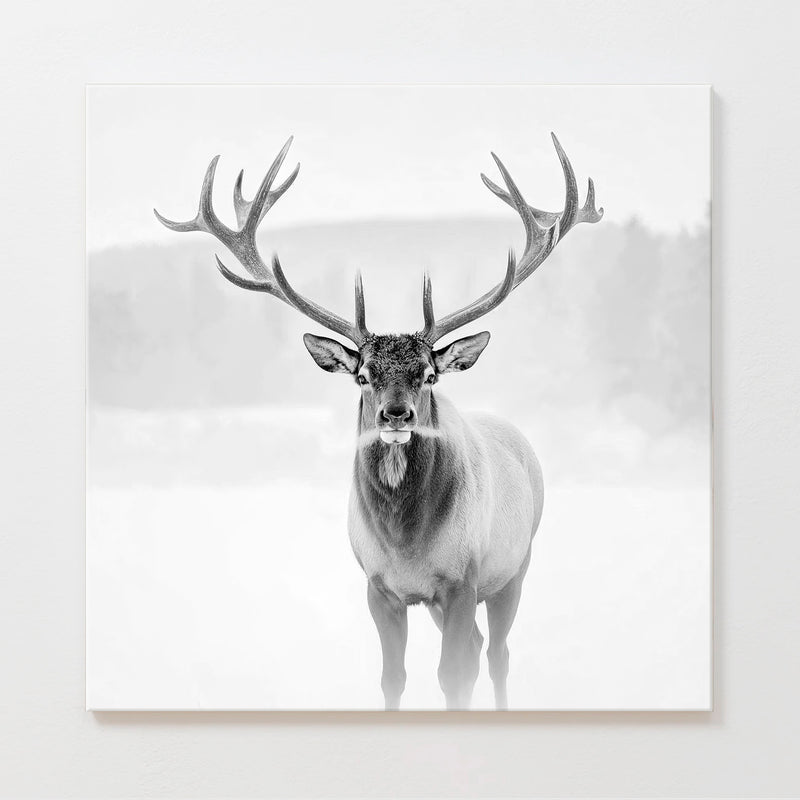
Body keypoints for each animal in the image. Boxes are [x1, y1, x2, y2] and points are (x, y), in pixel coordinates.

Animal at [155, 134, 602, 709]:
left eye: (429, 374)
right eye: (363, 375)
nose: (395, 413)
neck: (405, 543)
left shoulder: (462, 578)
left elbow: (452, 676)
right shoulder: (378, 585)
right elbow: (394, 677)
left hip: (515, 565)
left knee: (497, 654)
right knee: (481, 646)